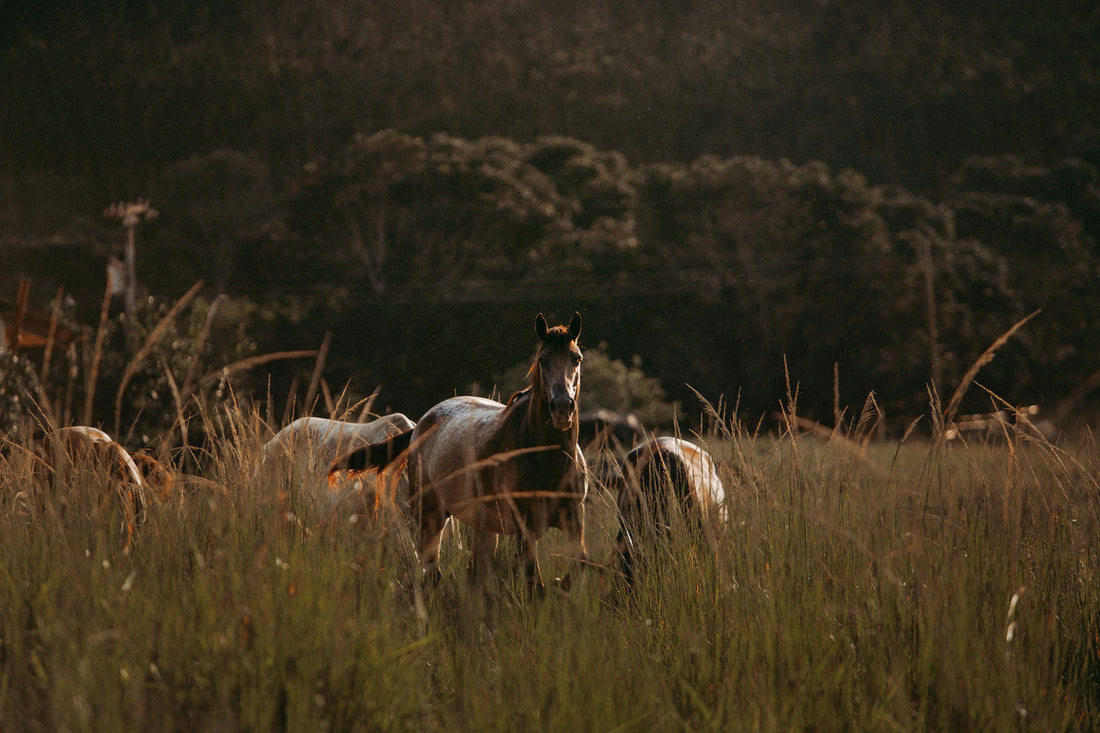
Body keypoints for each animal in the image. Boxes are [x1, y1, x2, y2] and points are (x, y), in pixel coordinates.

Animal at [333, 312, 588, 589]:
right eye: (543, 360)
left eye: (576, 358)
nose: (562, 408)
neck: (545, 459)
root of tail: (419, 424)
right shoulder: (525, 527)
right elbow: (535, 585)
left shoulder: (574, 518)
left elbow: (579, 565)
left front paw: (560, 584)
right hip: (430, 516)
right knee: (432, 573)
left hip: (482, 527)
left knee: (474, 576)